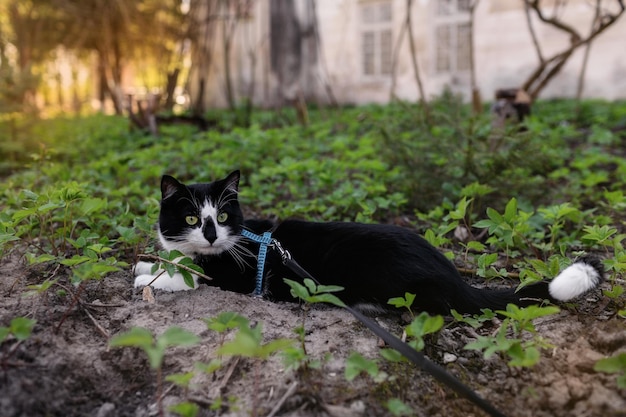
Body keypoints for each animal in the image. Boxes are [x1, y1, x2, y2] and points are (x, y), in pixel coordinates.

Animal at [133, 171, 604, 314]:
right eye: (192, 218)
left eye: (223, 217)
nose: (212, 234)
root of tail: (455, 276)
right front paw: (146, 266)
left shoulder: (237, 275)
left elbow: (192, 277)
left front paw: (149, 280)